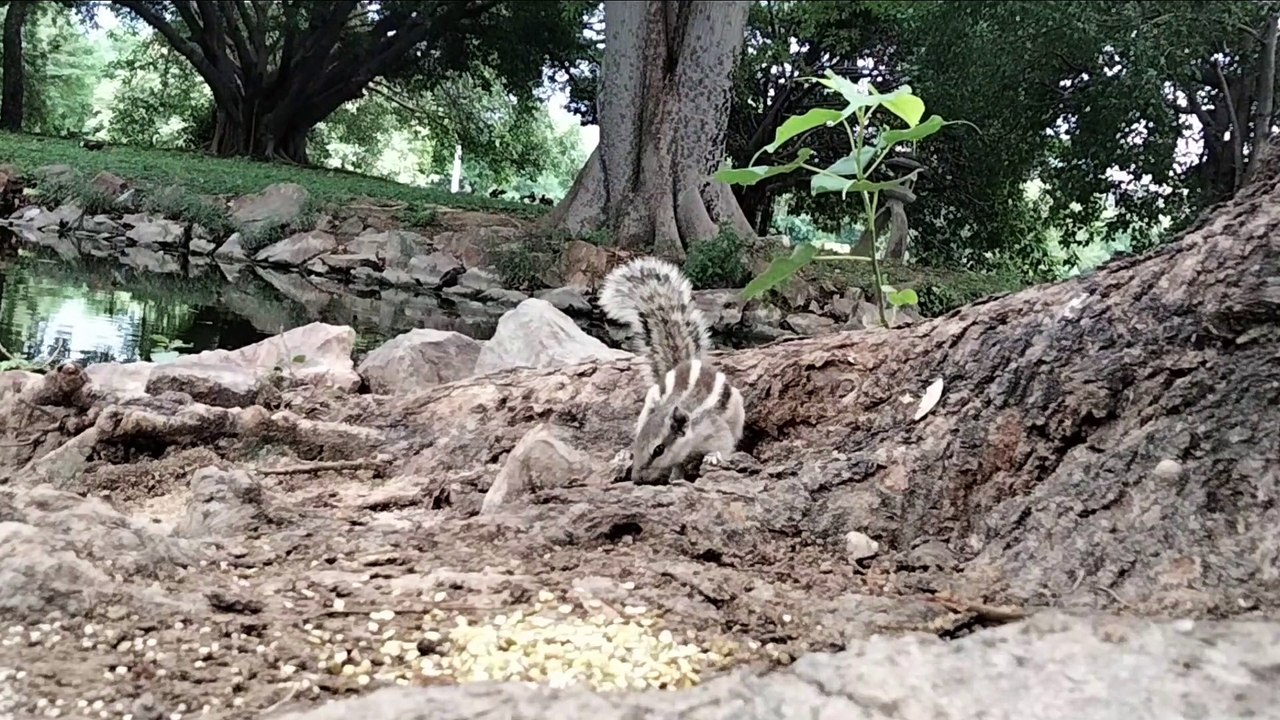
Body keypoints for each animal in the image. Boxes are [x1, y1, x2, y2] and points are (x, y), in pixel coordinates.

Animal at [598, 257, 745, 484]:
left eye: (658, 450)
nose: (636, 478)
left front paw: (714, 457)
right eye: (638, 443)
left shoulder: (717, 429)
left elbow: (725, 445)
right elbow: (678, 464)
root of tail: (684, 363)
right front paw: (674, 476)